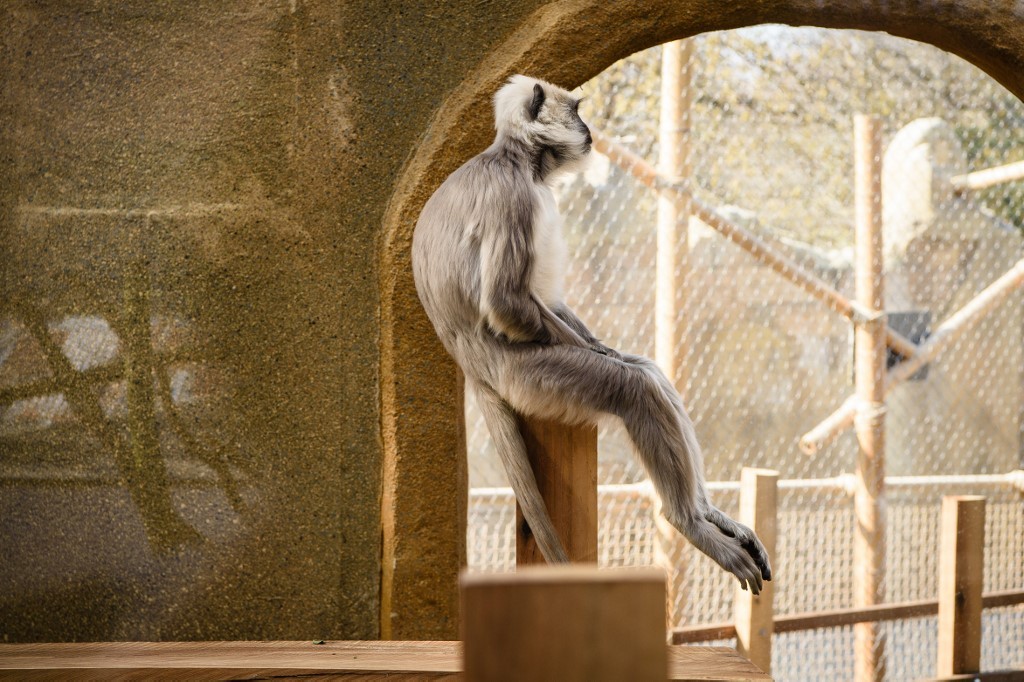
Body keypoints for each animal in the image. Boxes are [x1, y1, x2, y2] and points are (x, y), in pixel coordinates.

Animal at [412, 74, 771, 593]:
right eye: (577, 112)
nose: (589, 130)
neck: (520, 161)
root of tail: (472, 367)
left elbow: (549, 303)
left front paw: (606, 346)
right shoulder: (513, 197)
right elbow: (505, 302)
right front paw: (605, 355)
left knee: (648, 375)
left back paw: (706, 515)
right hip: (531, 377)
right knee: (635, 386)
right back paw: (688, 521)